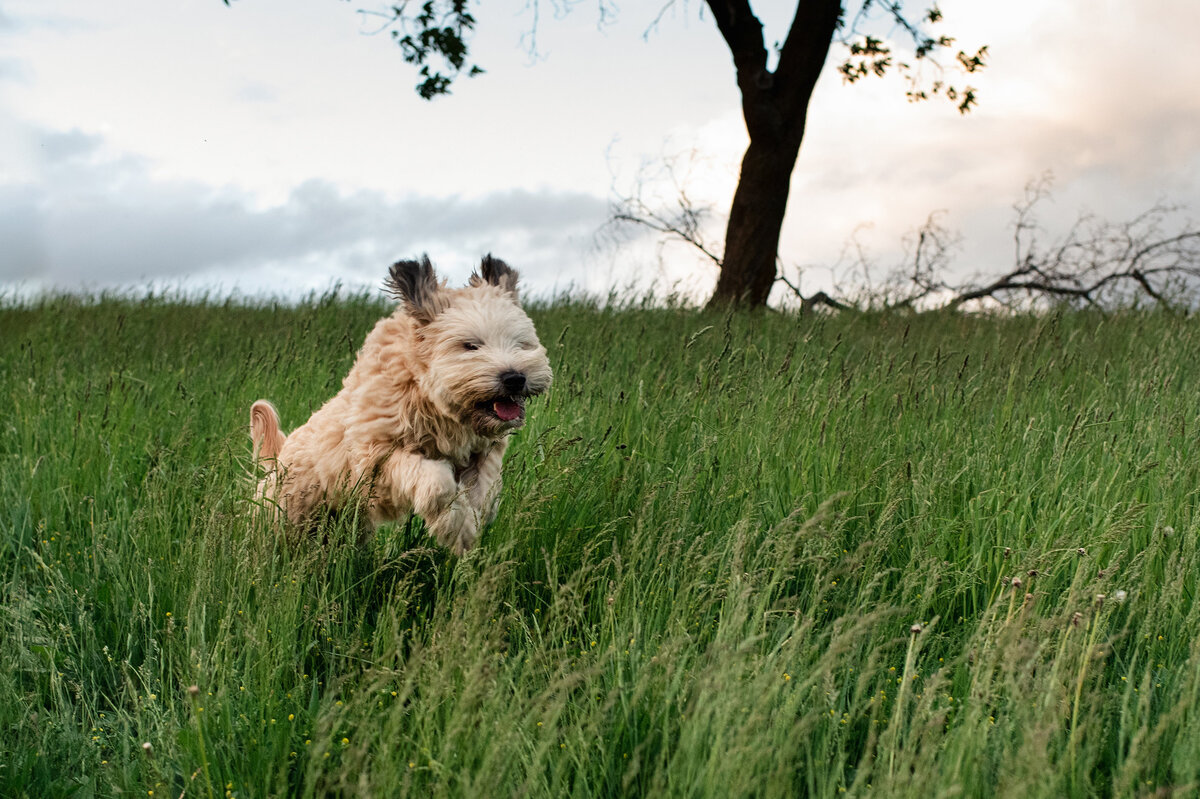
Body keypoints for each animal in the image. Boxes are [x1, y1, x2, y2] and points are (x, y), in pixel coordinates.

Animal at [253, 255, 556, 554]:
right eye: (471, 345)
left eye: (520, 344)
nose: (515, 378)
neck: (427, 396)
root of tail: (279, 456)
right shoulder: (377, 462)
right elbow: (437, 482)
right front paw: (458, 527)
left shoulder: (480, 453)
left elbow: (487, 487)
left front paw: (475, 519)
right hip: (286, 515)